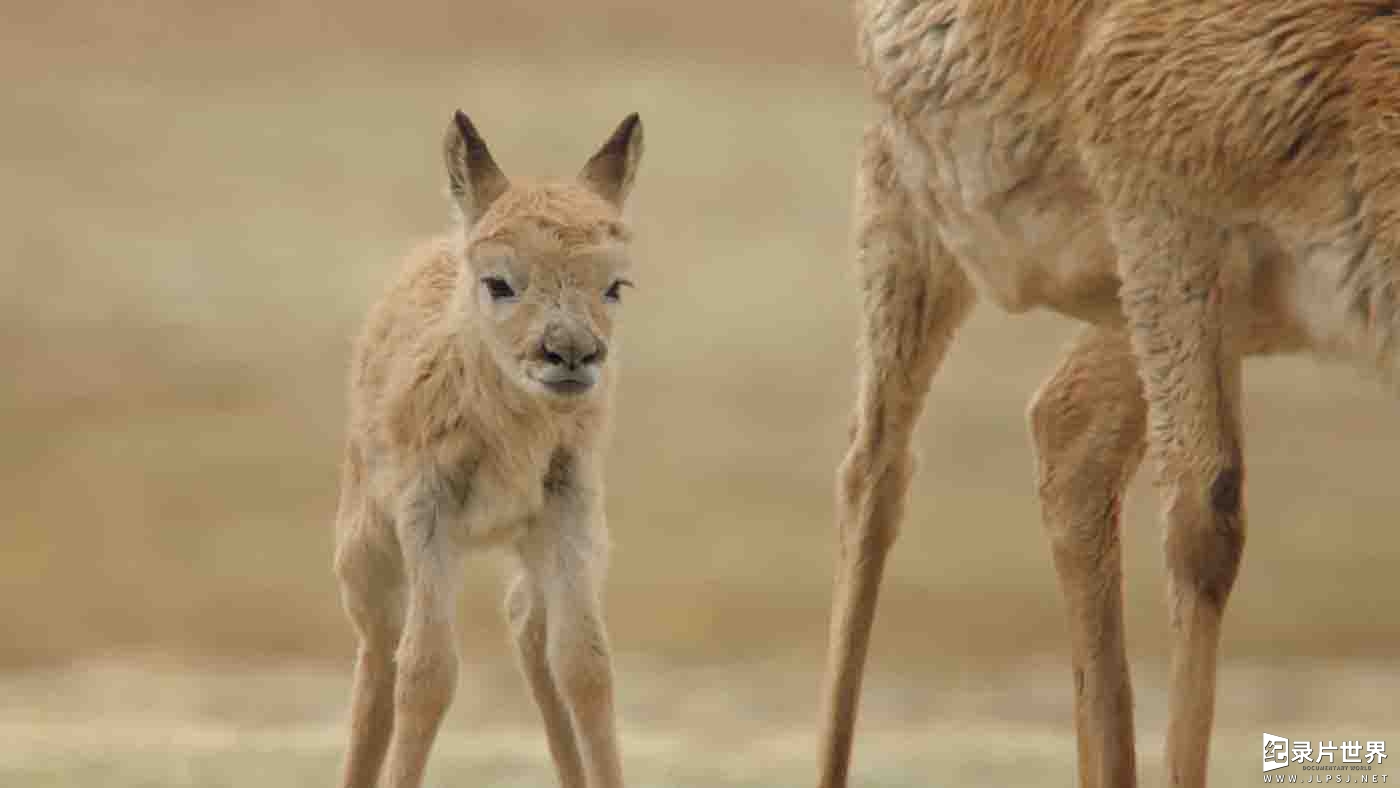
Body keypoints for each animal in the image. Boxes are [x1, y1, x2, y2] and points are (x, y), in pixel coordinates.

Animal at [333, 109, 644, 788]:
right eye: (499, 281)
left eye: (616, 284)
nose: (571, 353)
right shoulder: (427, 516)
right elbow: (425, 673)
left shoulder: (570, 509)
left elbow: (586, 665)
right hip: (366, 552)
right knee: (378, 659)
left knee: (529, 626)